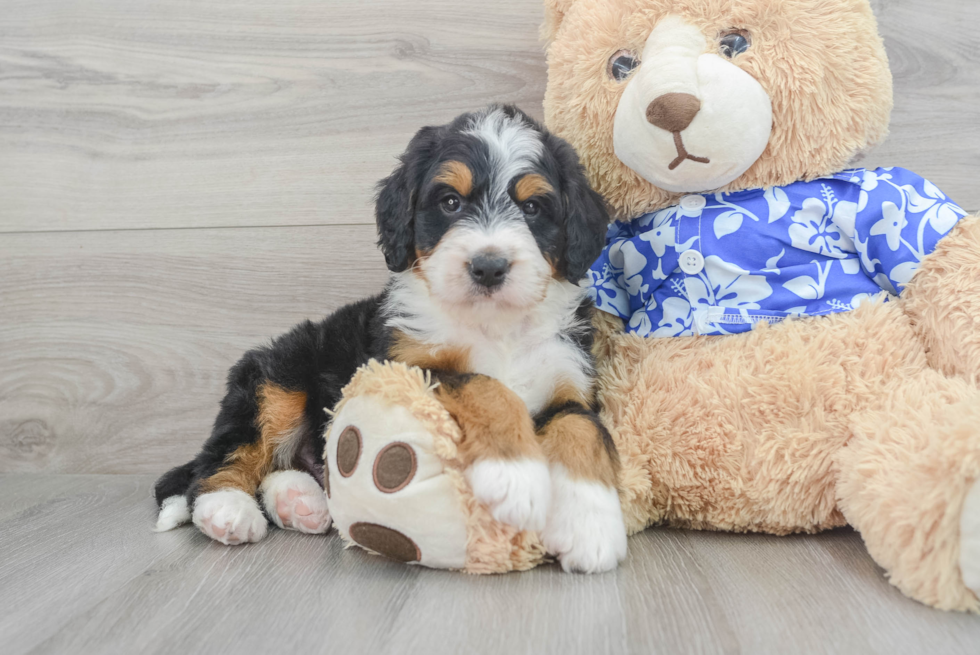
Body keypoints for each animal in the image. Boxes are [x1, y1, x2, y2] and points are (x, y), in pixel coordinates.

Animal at [153, 106, 628, 576]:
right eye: (450, 202)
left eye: (532, 207)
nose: (489, 267)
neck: (494, 326)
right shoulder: (405, 365)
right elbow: (486, 386)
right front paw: (515, 476)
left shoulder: (570, 380)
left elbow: (585, 430)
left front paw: (592, 524)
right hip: (278, 374)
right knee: (225, 453)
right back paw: (226, 509)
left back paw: (297, 501)